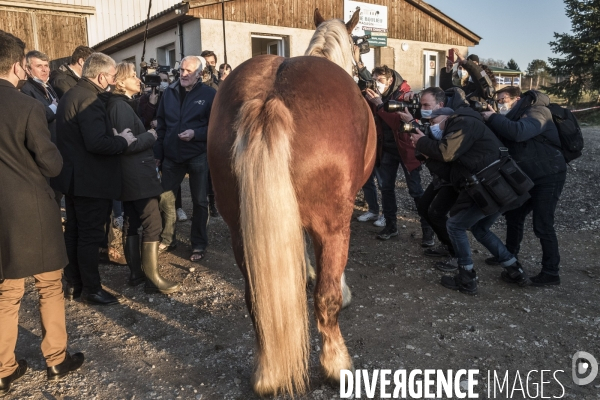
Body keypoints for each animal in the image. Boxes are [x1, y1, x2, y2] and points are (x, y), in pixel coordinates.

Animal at [206, 9, 376, 396]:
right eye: (359, 47)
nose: (368, 76)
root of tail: (269, 97)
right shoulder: (333, 222)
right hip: (332, 225)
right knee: (326, 299)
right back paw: (336, 365)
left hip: (240, 228)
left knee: (255, 301)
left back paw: (267, 374)